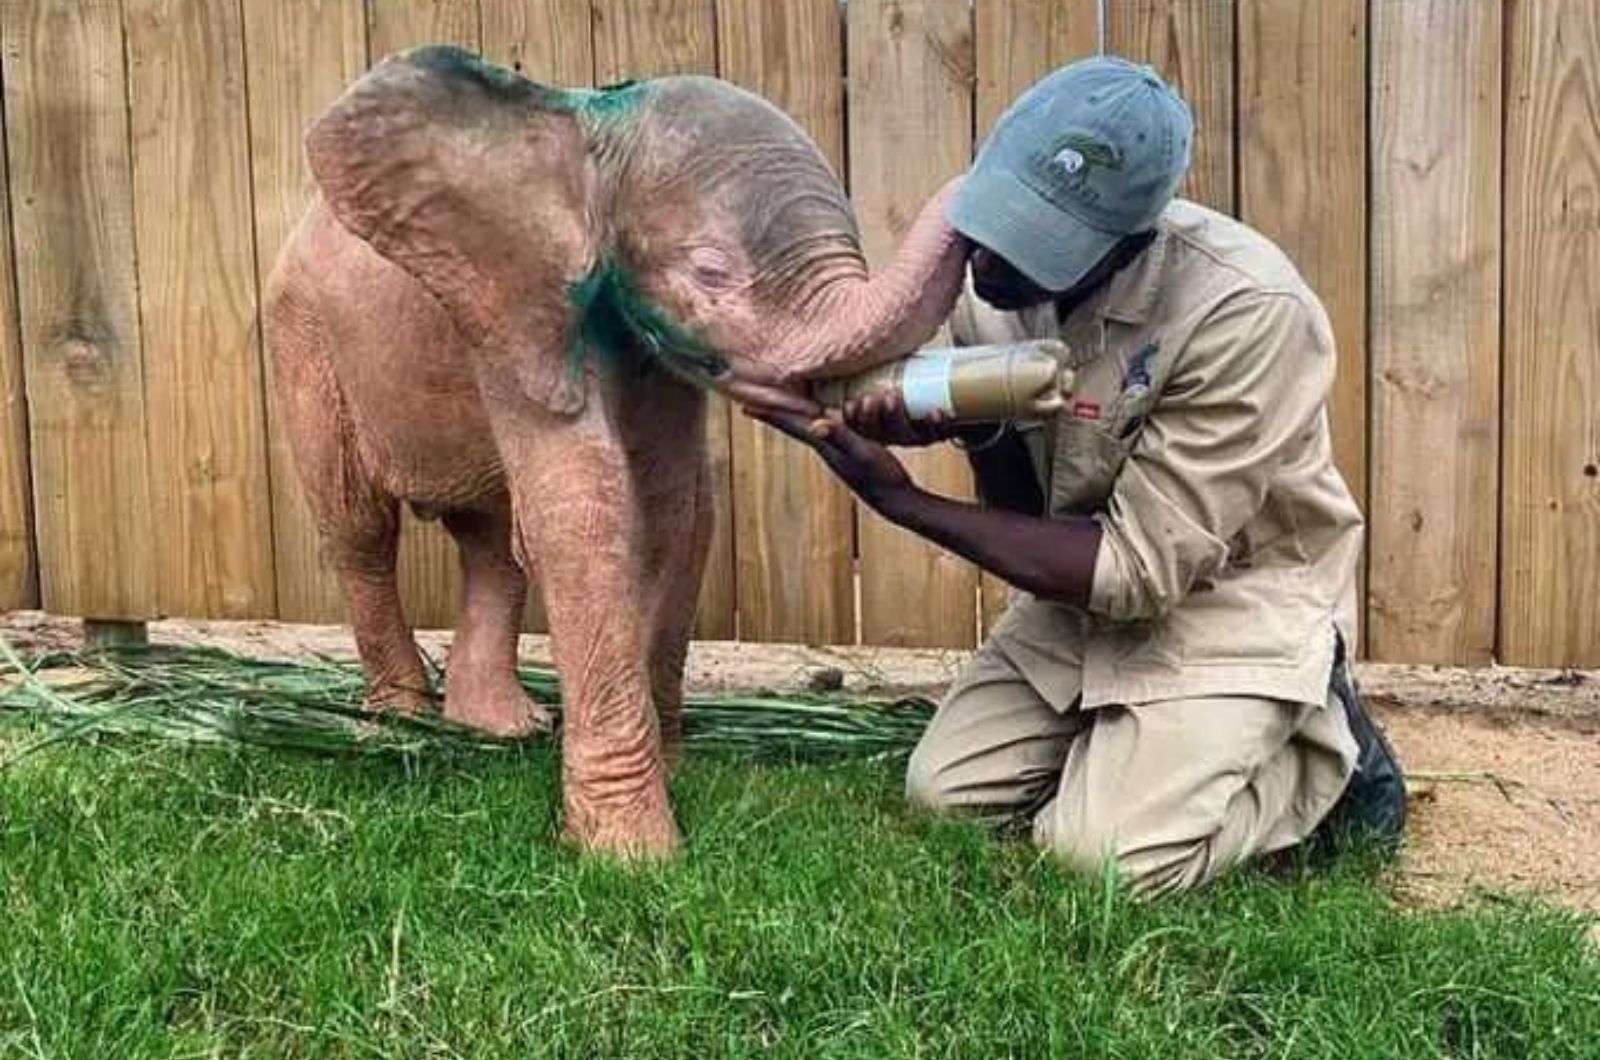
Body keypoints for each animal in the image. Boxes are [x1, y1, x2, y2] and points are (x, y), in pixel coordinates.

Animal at [264, 49, 966, 858]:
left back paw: (500, 730)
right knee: (361, 531)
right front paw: (633, 855)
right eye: (709, 272)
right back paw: (400, 728)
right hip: (303, 342)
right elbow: (584, 505)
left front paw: (668, 773)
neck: (590, 135)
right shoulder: (511, 310)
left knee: (492, 545)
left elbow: (678, 506)